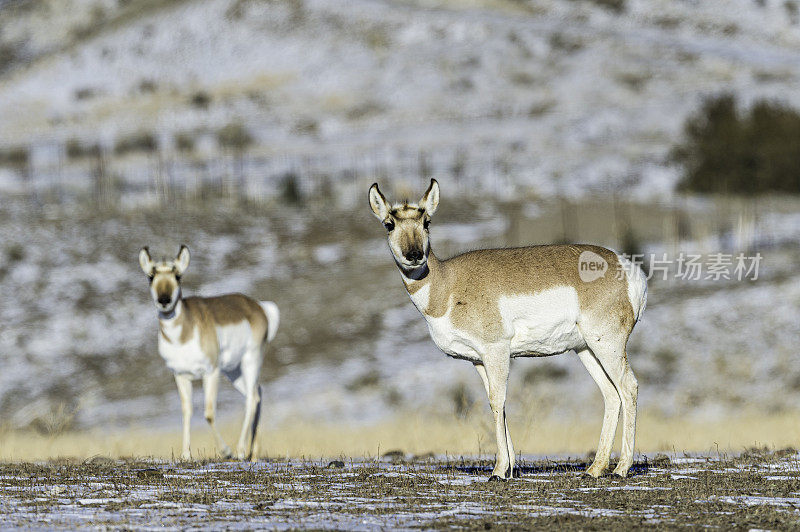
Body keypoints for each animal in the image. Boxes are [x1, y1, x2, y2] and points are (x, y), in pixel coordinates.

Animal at [136, 246, 276, 462]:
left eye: (178, 275)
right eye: (151, 276)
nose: (164, 300)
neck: (182, 336)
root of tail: (257, 306)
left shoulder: (211, 372)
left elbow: (209, 413)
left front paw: (226, 451)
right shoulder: (180, 376)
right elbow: (187, 411)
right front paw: (185, 455)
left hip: (250, 361)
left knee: (252, 399)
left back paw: (240, 450)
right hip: (233, 371)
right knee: (256, 394)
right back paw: (253, 453)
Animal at [368, 181, 644, 480]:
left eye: (426, 221)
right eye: (389, 224)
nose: (415, 256)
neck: (447, 285)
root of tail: (627, 267)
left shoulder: (496, 350)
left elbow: (497, 400)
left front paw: (499, 471)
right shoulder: (478, 360)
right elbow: (496, 403)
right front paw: (510, 468)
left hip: (607, 344)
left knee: (628, 387)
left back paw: (622, 467)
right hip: (586, 349)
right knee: (611, 394)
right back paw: (595, 468)